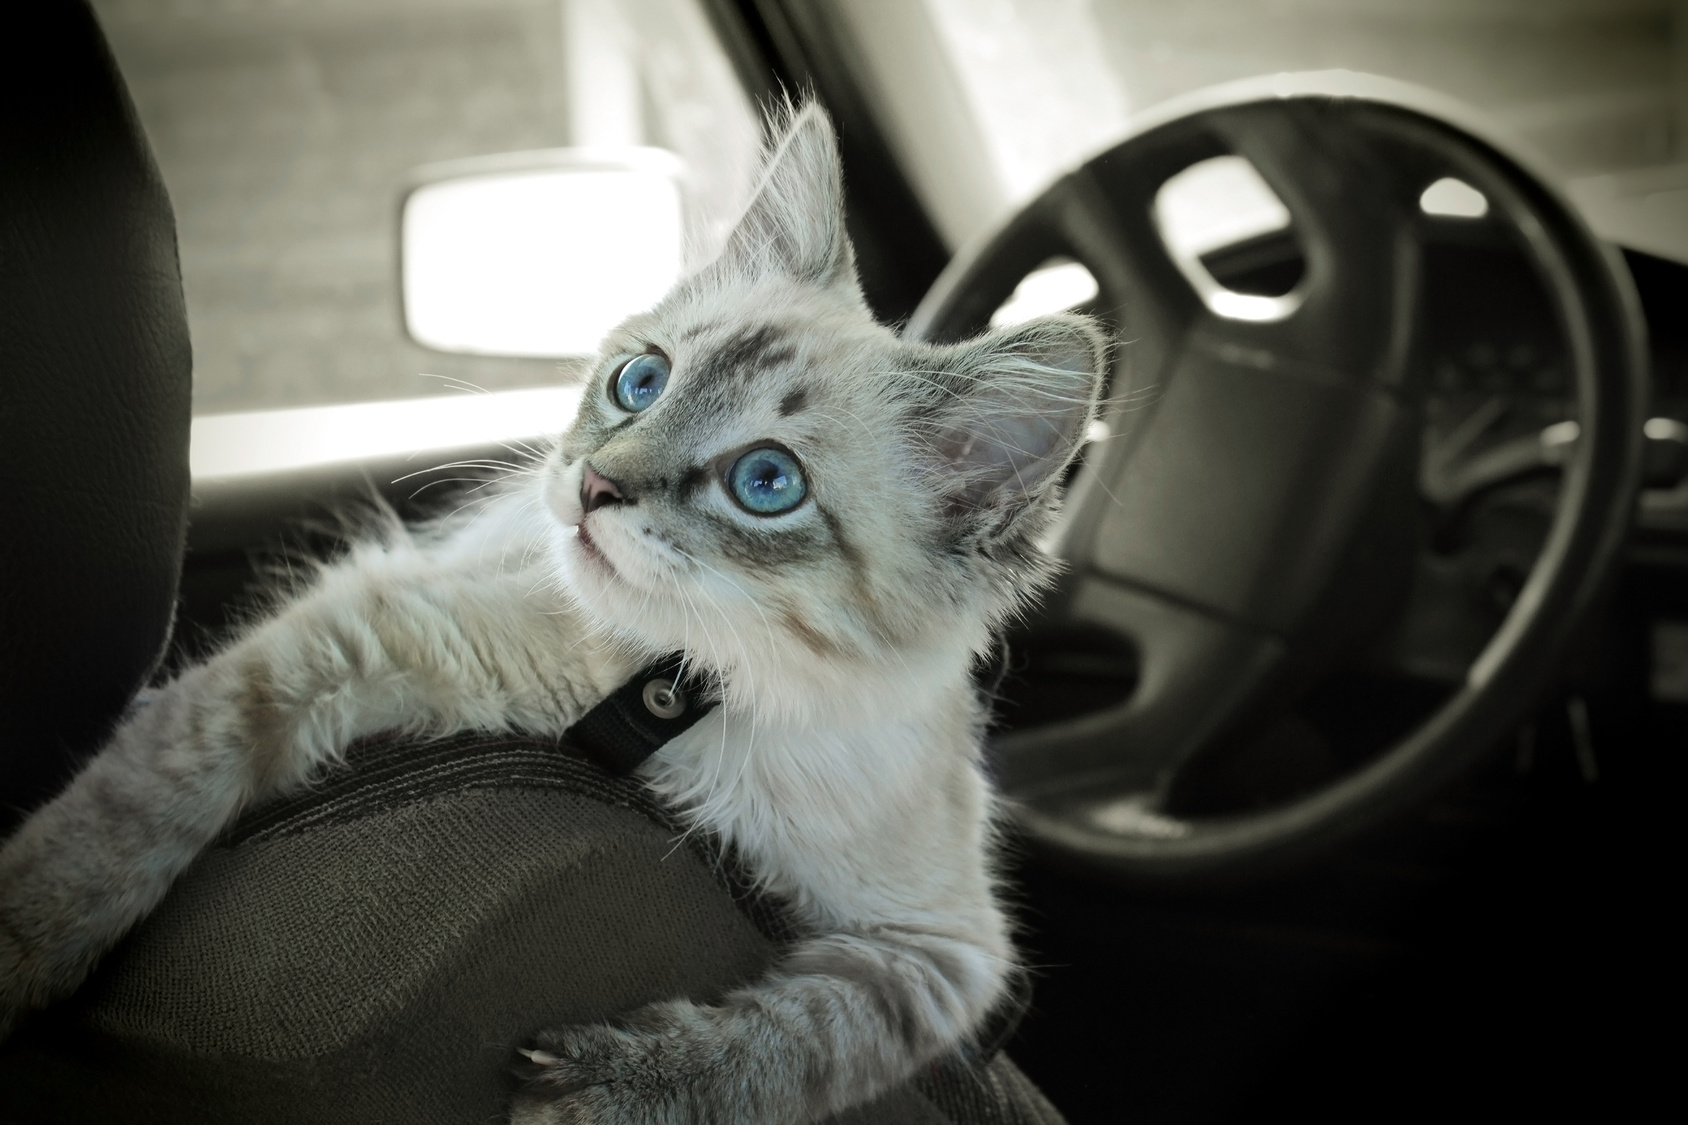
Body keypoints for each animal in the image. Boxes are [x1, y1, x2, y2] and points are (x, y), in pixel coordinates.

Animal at [0, 100, 1107, 1114]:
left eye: (765, 483)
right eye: (640, 380)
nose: (594, 484)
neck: (690, 693)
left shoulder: (942, 953)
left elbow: (790, 1045)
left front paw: (614, 1086)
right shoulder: (373, 631)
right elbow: (134, 803)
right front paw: (26, 942)